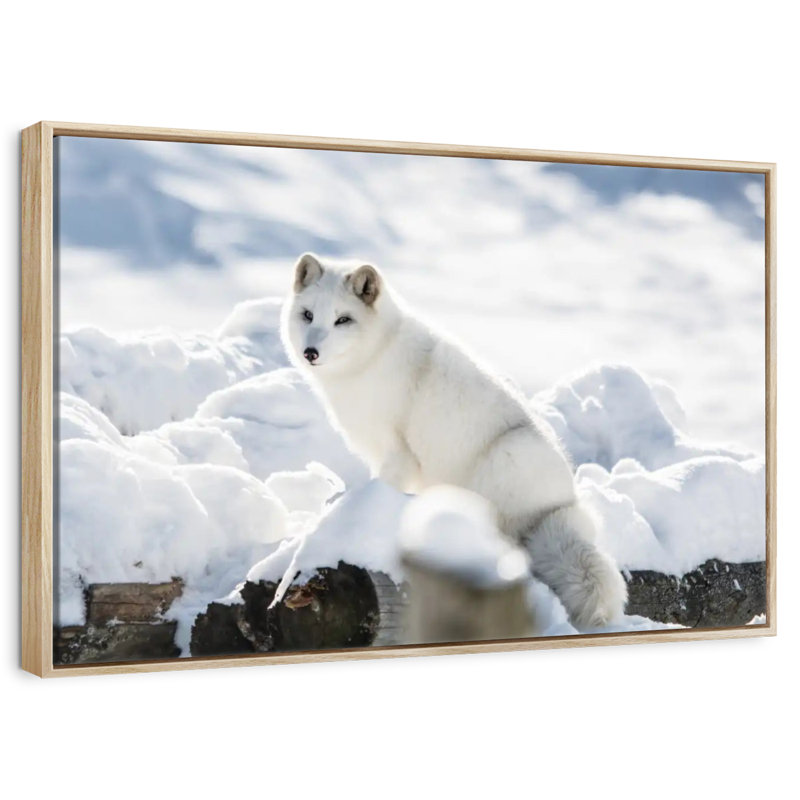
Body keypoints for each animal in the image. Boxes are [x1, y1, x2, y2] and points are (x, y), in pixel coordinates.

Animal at [281, 252, 627, 629]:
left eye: (342, 320)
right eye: (308, 315)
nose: (310, 352)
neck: (374, 357)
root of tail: (563, 505)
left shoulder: (398, 453)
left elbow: (379, 487)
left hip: (505, 457)